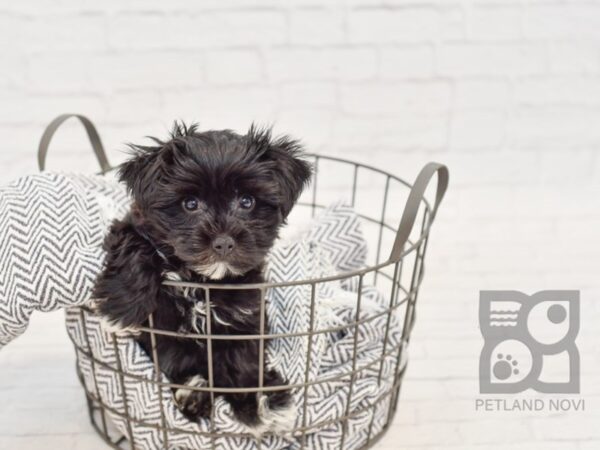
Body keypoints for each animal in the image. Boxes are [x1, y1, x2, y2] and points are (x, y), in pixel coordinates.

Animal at [92, 124, 314, 436]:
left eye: (247, 201)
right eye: (190, 204)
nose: (223, 242)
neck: (200, 279)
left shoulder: (244, 313)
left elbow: (244, 357)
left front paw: (259, 401)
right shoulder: (131, 224)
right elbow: (135, 244)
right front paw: (119, 308)